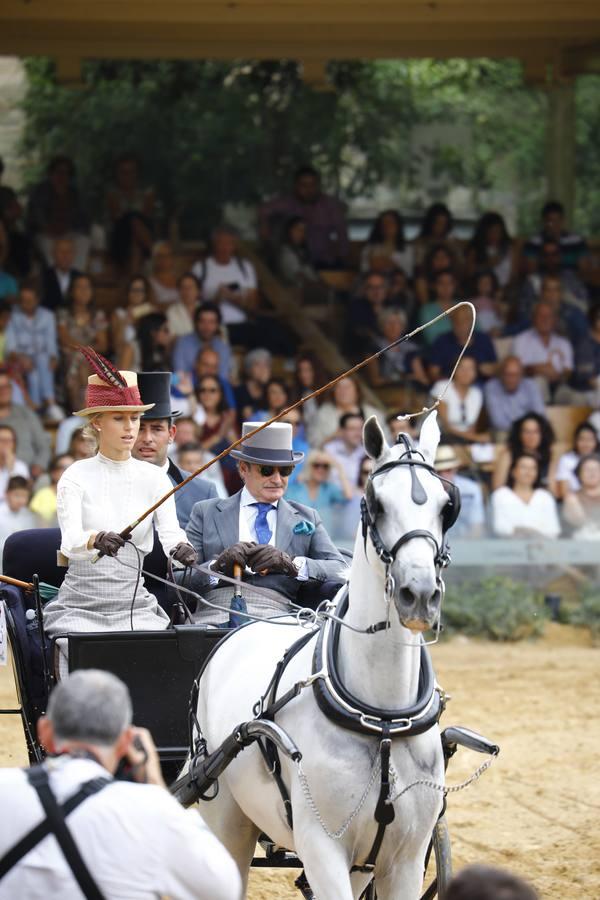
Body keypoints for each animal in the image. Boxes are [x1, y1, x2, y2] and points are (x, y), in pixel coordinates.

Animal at [190, 414, 452, 892]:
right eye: (374, 503)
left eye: (447, 505)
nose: (420, 594)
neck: (383, 721)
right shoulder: (322, 848)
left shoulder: (403, 859)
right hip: (226, 820)